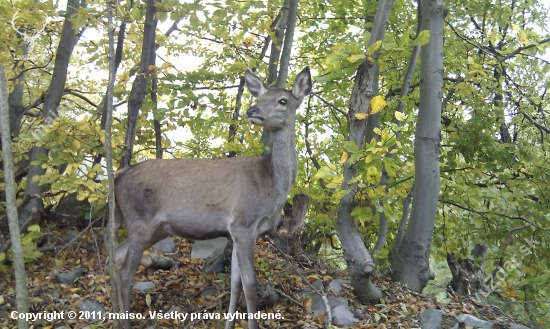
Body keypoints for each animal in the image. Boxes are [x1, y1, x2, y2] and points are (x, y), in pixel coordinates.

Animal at [114, 67, 312, 328]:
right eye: (260, 98)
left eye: (282, 100)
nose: (252, 110)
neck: (271, 184)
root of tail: (117, 176)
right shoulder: (243, 223)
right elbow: (250, 285)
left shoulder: (238, 232)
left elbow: (235, 284)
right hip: (140, 220)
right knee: (127, 273)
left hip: (155, 228)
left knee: (116, 256)